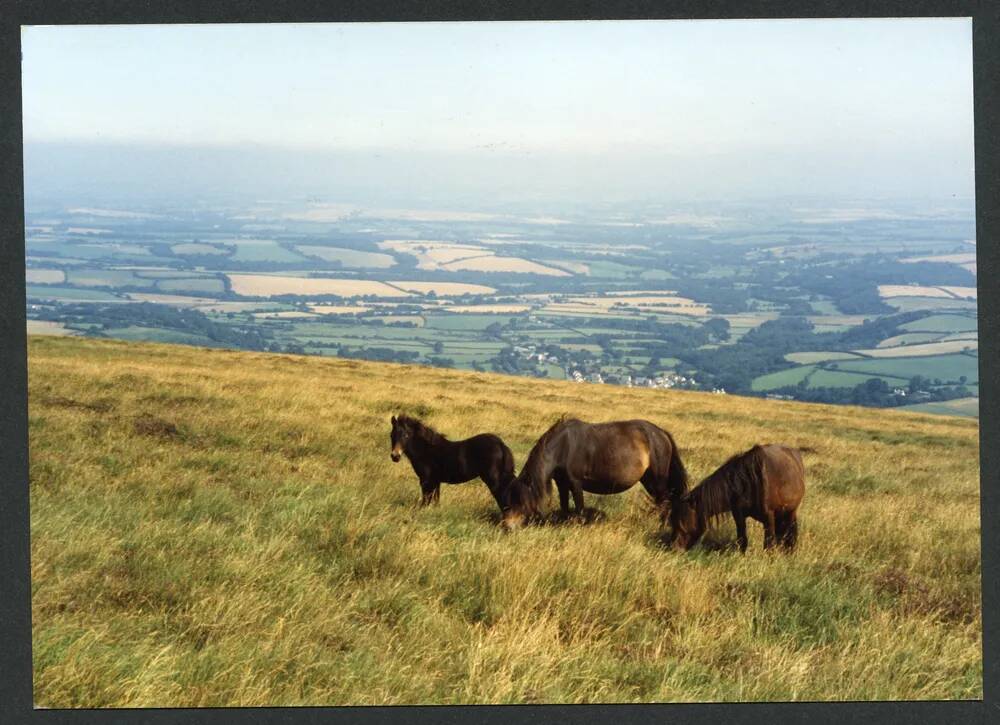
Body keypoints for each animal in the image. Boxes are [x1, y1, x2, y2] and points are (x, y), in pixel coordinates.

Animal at [388, 416, 520, 512]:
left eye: (406, 435)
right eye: (392, 435)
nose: (395, 456)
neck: (427, 450)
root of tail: (501, 444)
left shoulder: (426, 480)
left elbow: (426, 499)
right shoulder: (436, 481)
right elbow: (436, 499)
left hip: (493, 479)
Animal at [504, 416, 692, 528]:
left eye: (520, 500)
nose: (507, 525)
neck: (563, 447)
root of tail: (661, 433)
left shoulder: (575, 483)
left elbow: (579, 508)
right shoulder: (562, 484)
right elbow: (565, 506)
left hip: (657, 480)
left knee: (664, 501)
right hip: (648, 480)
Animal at [668, 444, 808, 552]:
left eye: (681, 524)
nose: (675, 549)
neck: (749, 481)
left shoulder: (769, 517)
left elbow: (768, 543)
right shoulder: (739, 515)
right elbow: (742, 539)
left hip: (790, 512)